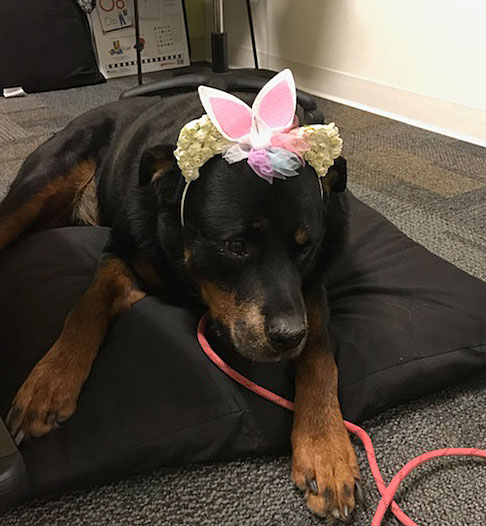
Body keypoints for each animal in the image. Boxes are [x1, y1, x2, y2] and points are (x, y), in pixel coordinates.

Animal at [0, 87, 361, 520]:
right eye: (235, 246)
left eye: (305, 248)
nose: (289, 336)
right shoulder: (123, 252)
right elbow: (86, 308)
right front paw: (51, 380)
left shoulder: (310, 288)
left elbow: (320, 358)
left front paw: (326, 449)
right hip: (44, 179)